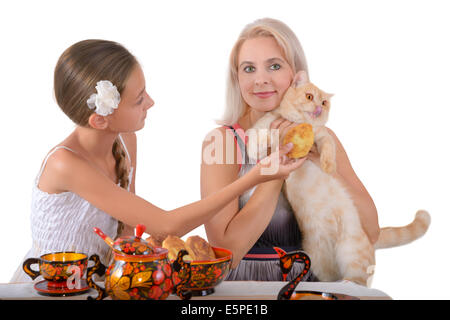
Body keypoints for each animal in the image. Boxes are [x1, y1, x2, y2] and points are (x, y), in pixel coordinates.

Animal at [248, 70, 430, 284]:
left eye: (324, 102)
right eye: (309, 97)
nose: (319, 108)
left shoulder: (323, 136)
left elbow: (328, 148)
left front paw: (328, 165)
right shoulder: (261, 128)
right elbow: (258, 137)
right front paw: (262, 148)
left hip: (351, 250)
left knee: (357, 279)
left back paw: (347, 282)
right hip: (319, 260)